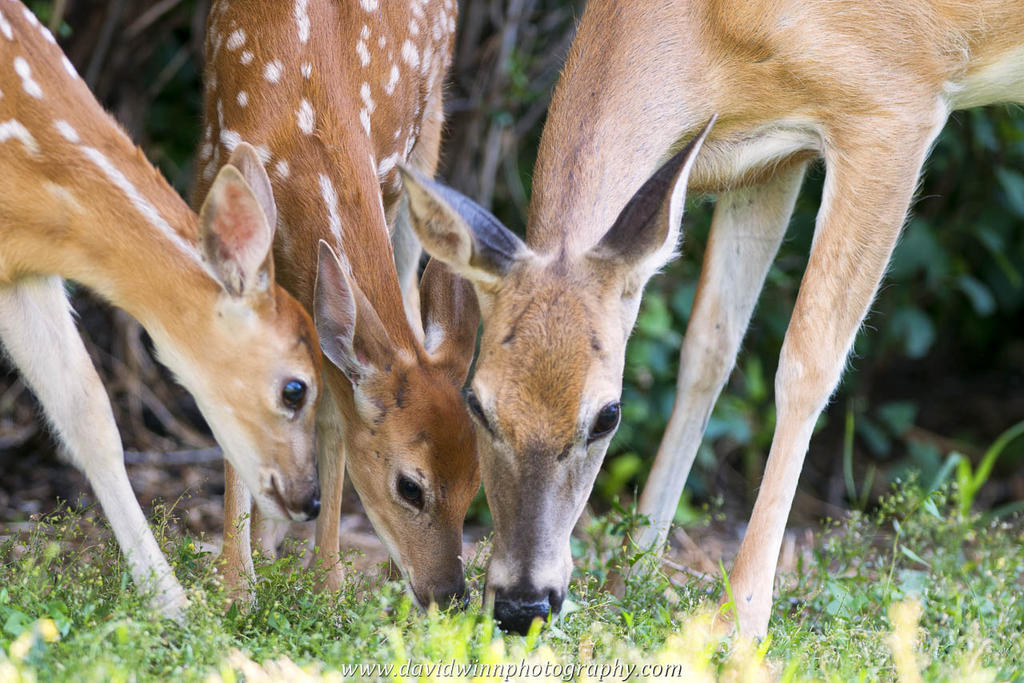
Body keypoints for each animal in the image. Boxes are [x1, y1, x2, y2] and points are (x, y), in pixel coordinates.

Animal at [195, 0, 480, 607]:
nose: (449, 594)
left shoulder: (386, 171)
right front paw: (235, 587)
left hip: (429, 127)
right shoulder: (216, 162)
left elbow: (332, 408)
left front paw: (326, 584)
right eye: (410, 486)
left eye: (477, 483)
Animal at [399, 0, 1024, 635]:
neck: (710, 28)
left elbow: (807, 362)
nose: (522, 605)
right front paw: (628, 580)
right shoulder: (770, 159)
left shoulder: (896, 103)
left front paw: (742, 615)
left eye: (607, 416)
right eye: (477, 404)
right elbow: (708, 348)